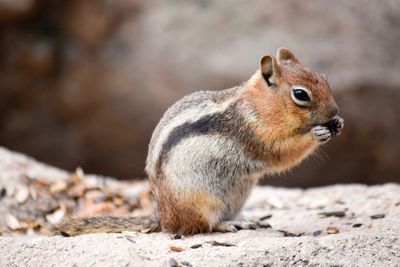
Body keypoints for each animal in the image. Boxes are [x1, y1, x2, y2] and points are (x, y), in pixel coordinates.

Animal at [50, 47, 344, 237]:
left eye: (324, 80)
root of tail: (164, 218)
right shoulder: (256, 134)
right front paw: (317, 134)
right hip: (202, 201)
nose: (335, 112)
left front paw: (338, 125)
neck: (256, 105)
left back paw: (249, 221)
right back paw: (228, 225)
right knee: (201, 227)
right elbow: (282, 155)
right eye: (300, 95)